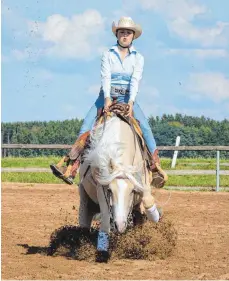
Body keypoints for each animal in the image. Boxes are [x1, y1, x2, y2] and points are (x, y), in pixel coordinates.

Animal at [78, 113, 160, 258]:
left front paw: (155, 217)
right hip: (83, 193)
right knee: (84, 217)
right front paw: (102, 250)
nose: (120, 225)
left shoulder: (142, 179)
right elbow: (105, 216)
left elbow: (147, 199)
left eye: (132, 191)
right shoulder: (101, 187)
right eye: (110, 190)